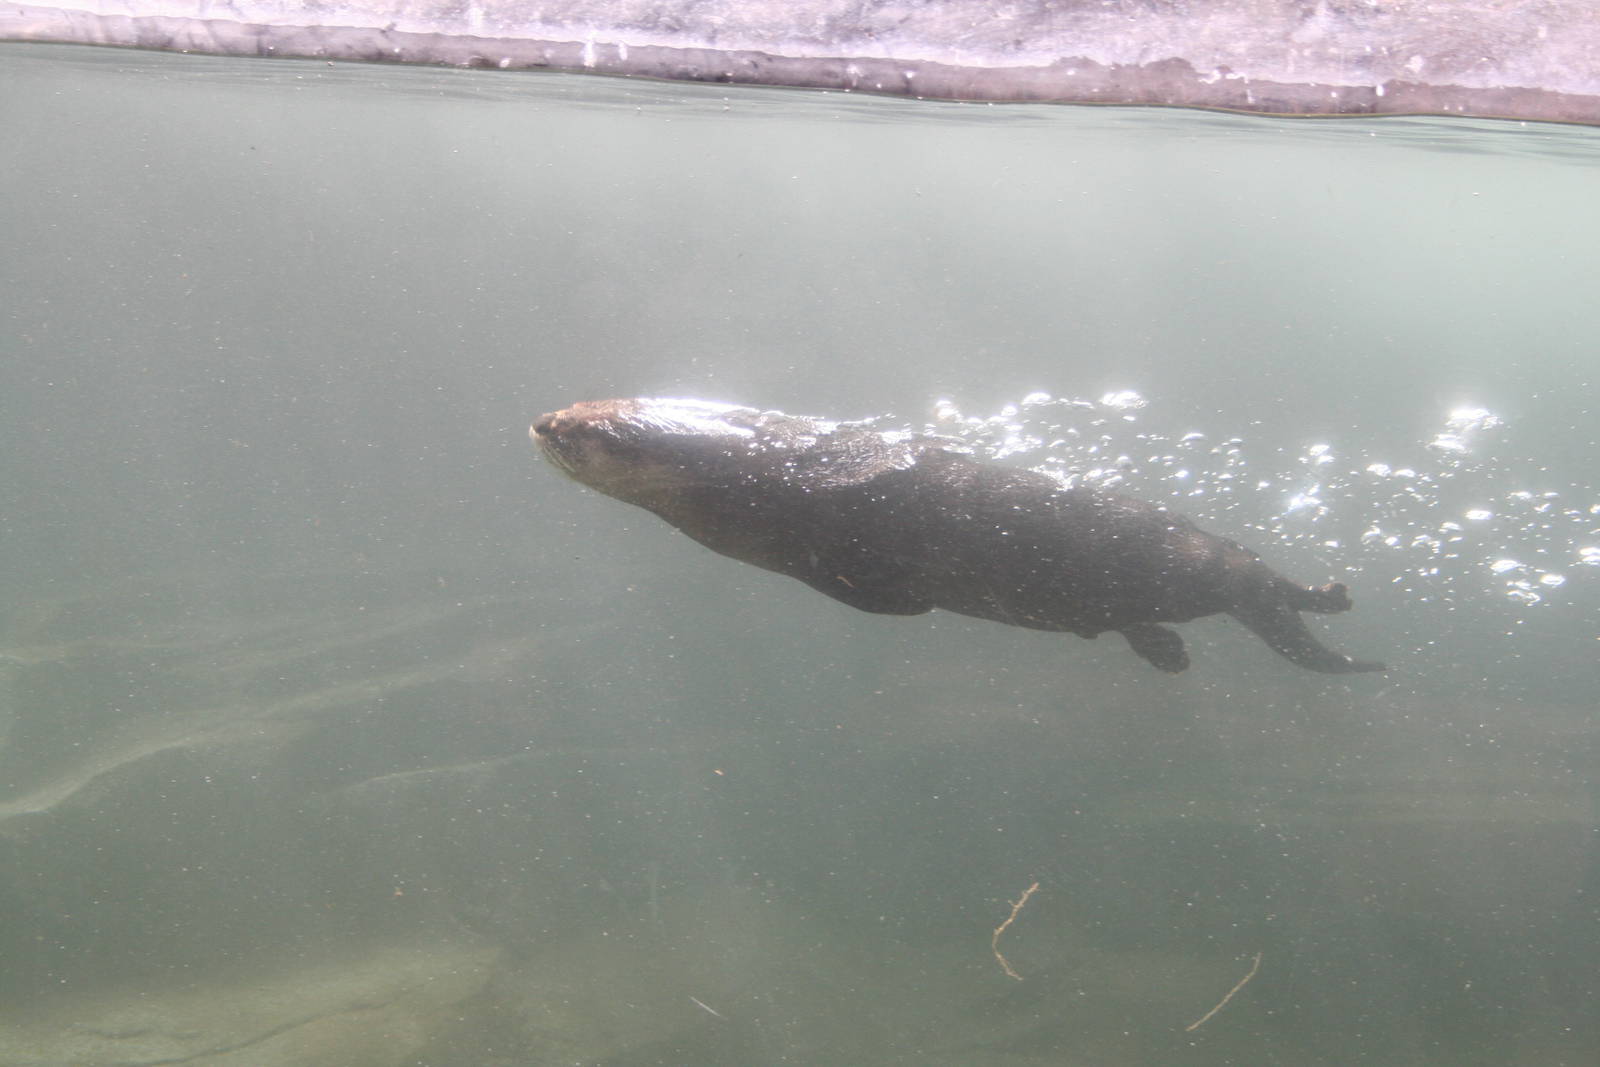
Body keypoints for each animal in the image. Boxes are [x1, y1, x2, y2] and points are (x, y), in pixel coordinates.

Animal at [531, 398, 1385, 674]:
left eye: (585, 427)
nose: (543, 422)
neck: (731, 463)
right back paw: (1170, 652)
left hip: (1189, 549)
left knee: (1255, 572)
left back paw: (1330, 593)